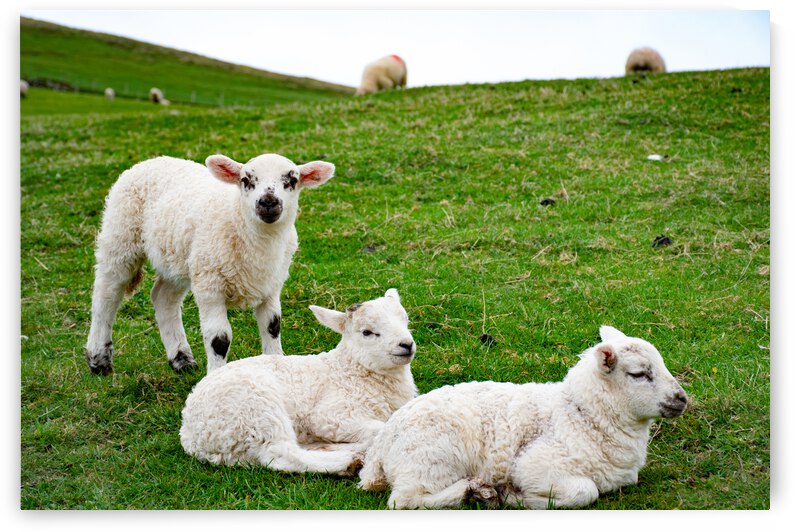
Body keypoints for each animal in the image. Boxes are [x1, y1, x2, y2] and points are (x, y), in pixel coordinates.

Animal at [85, 152, 335, 375]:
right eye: (246, 180)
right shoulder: (209, 285)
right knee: (106, 295)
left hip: (179, 257)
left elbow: (272, 327)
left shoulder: (271, 286)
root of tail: (150, 161)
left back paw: (181, 359)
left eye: (291, 180)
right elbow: (219, 339)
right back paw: (99, 360)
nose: (268, 202)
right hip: (121, 237)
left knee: (163, 298)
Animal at [179, 288, 417, 475]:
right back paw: (347, 461)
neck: (350, 370)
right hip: (255, 409)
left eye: (405, 321)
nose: (406, 344)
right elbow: (381, 428)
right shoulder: (331, 415)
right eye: (367, 332)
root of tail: (192, 435)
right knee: (281, 454)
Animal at [358, 325, 688, 509]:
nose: (682, 399)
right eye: (639, 374)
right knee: (405, 500)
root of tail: (378, 450)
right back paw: (472, 491)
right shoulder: (536, 466)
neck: (580, 415)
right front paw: (518, 498)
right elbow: (586, 491)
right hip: (431, 459)